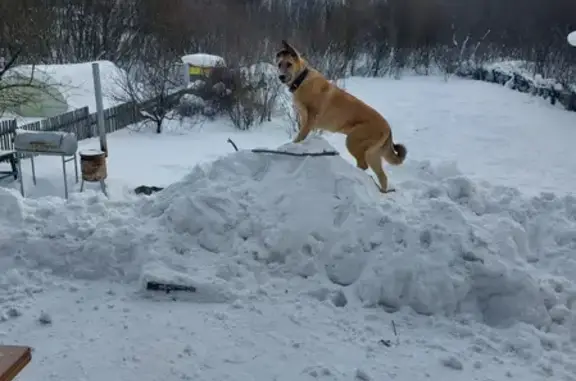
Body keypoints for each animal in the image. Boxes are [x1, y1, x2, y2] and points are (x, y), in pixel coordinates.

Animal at [276, 40, 404, 193]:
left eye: (289, 64)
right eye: (279, 64)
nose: (281, 77)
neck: (301, 79)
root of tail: (388, 128)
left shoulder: (310, 119)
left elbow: (300, 137)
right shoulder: (304, 119)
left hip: (353, 141)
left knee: (364, 166)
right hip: (372, 154)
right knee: (382, 176)